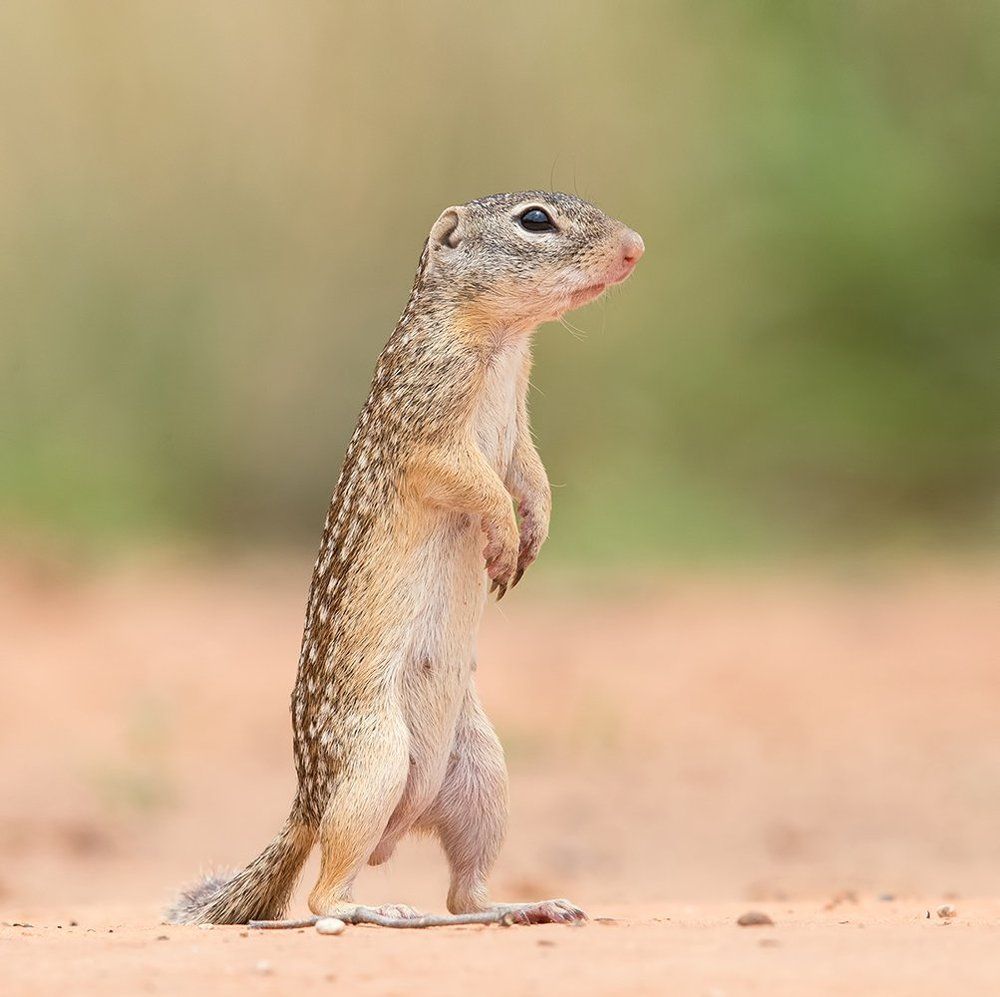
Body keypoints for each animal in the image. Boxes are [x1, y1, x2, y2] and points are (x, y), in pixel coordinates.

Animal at [166, 191, 644, 927]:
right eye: (535, 219)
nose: (635, 247)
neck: (505, 343)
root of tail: (307, 805)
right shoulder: (427, 419)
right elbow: (471, 477)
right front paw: (503, 532)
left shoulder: (519, 424)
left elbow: (530, 472)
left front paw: (532, 531)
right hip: (375, 765)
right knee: (326, 890)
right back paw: (380, 909)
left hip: (485, 775)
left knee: (463, 891)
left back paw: (526, 906)